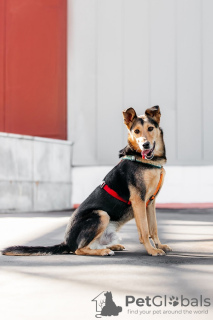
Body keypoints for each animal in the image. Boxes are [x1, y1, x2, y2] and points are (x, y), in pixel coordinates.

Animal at [2, 106, 171, 256]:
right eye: (136, 131)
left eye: (150, 128)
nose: (145, 145)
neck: (148, 161)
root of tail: (66, 242)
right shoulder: (138, 200)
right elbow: (145, 230)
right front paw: (151, 250)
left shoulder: (150, 202)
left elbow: (153, 228)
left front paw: (159, 245)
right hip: (101, 214)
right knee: (79, 249)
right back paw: (103, 251)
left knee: (90, 245)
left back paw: (111, 246)